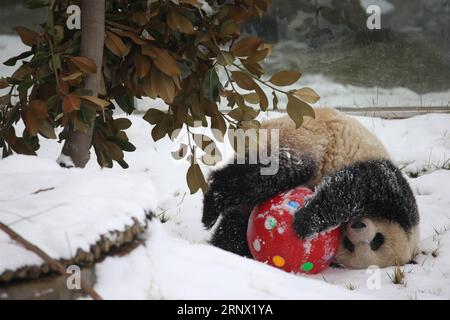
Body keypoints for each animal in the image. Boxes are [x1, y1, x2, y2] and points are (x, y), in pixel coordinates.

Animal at [202, 108, 420, 270]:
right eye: (378, 240)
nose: (358, 226)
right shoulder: (396, 194)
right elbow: (353, 186)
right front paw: (304, 222)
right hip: (302, 137)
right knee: (275, 171)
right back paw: (213, 203)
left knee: (237, 222)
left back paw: (224, 246)